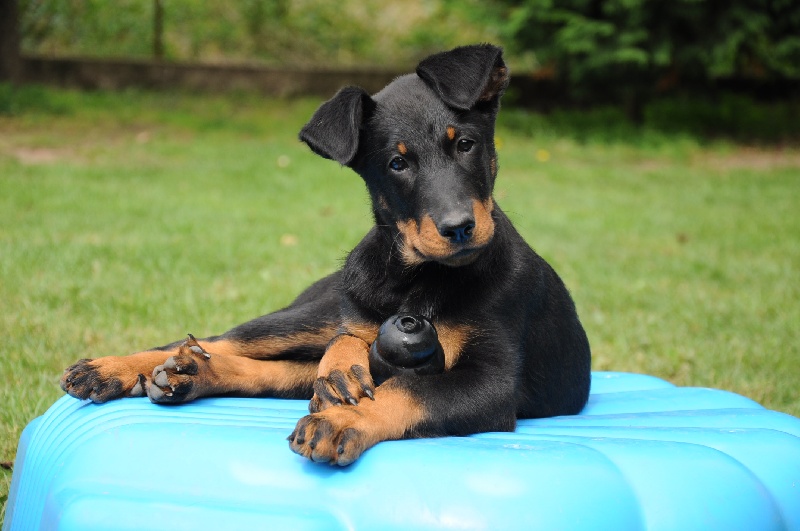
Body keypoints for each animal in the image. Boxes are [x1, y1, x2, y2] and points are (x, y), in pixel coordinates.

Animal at [61, 46, 588, 470]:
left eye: (465, 144)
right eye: (397, 164)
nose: (459, 227)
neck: (418, 278)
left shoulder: (493, 382)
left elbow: (408, 387)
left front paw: (343, 420)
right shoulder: (361, 326)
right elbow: (365, 358)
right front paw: (345, 389)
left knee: (269, 370)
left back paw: (194, 374)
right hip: (310, 316)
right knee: (221, 340)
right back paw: (110, 368)